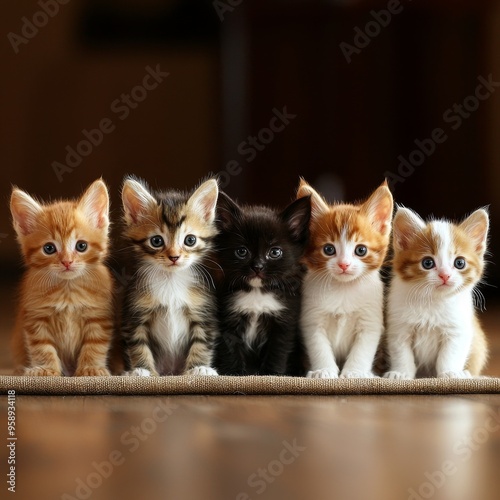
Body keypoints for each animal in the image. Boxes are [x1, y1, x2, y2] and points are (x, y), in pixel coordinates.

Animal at [10, 180, 114, 376]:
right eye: (49, 248)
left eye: (81, 246)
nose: (67, 261)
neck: (68, 290)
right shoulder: (36, 317)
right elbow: (42, 347)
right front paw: (46, 368)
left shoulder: (98, 316)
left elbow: (94, 345)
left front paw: (91, 368)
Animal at [213, 193, 310, 376]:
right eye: (242, 251)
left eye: (275, 252)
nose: (257, 267)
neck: (257, 292)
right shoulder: (227, 318)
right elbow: (230, 350)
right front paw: (233, 374)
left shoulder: (284, 321)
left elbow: (277, 351)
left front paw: (271, 374)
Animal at [296, 181, 394, 378]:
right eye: (329, 249)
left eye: (361, 250)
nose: (344, 264)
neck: (343, 288)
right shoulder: (312, 318)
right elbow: (319, 347)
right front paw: (324, 370)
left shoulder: (370, 320)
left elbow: (362, 350)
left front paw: (355, 372)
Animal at [382, 207, 488, 378]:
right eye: (427, 263)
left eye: (459, 263)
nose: (445, 275)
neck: (432, 300)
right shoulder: (399, 328)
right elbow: (401, 354)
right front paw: (401, 373)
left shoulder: (458, 329)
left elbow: (449, 355)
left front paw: (450, 373)